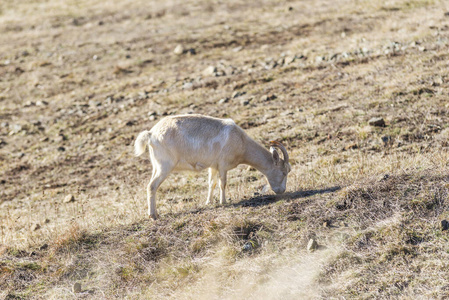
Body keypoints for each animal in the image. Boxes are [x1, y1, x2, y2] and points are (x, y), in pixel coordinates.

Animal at [133, 113, 290, 219]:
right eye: (284, 171)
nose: (282, 191)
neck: (241, 142)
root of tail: (151, 134)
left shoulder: (213, 166)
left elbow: (211, 183)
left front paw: (209, 202)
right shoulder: (223, 165)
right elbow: (222, 183)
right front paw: (223, 202)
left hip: (156, 166)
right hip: (165, 167)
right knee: (152, 186)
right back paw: (153, 215)